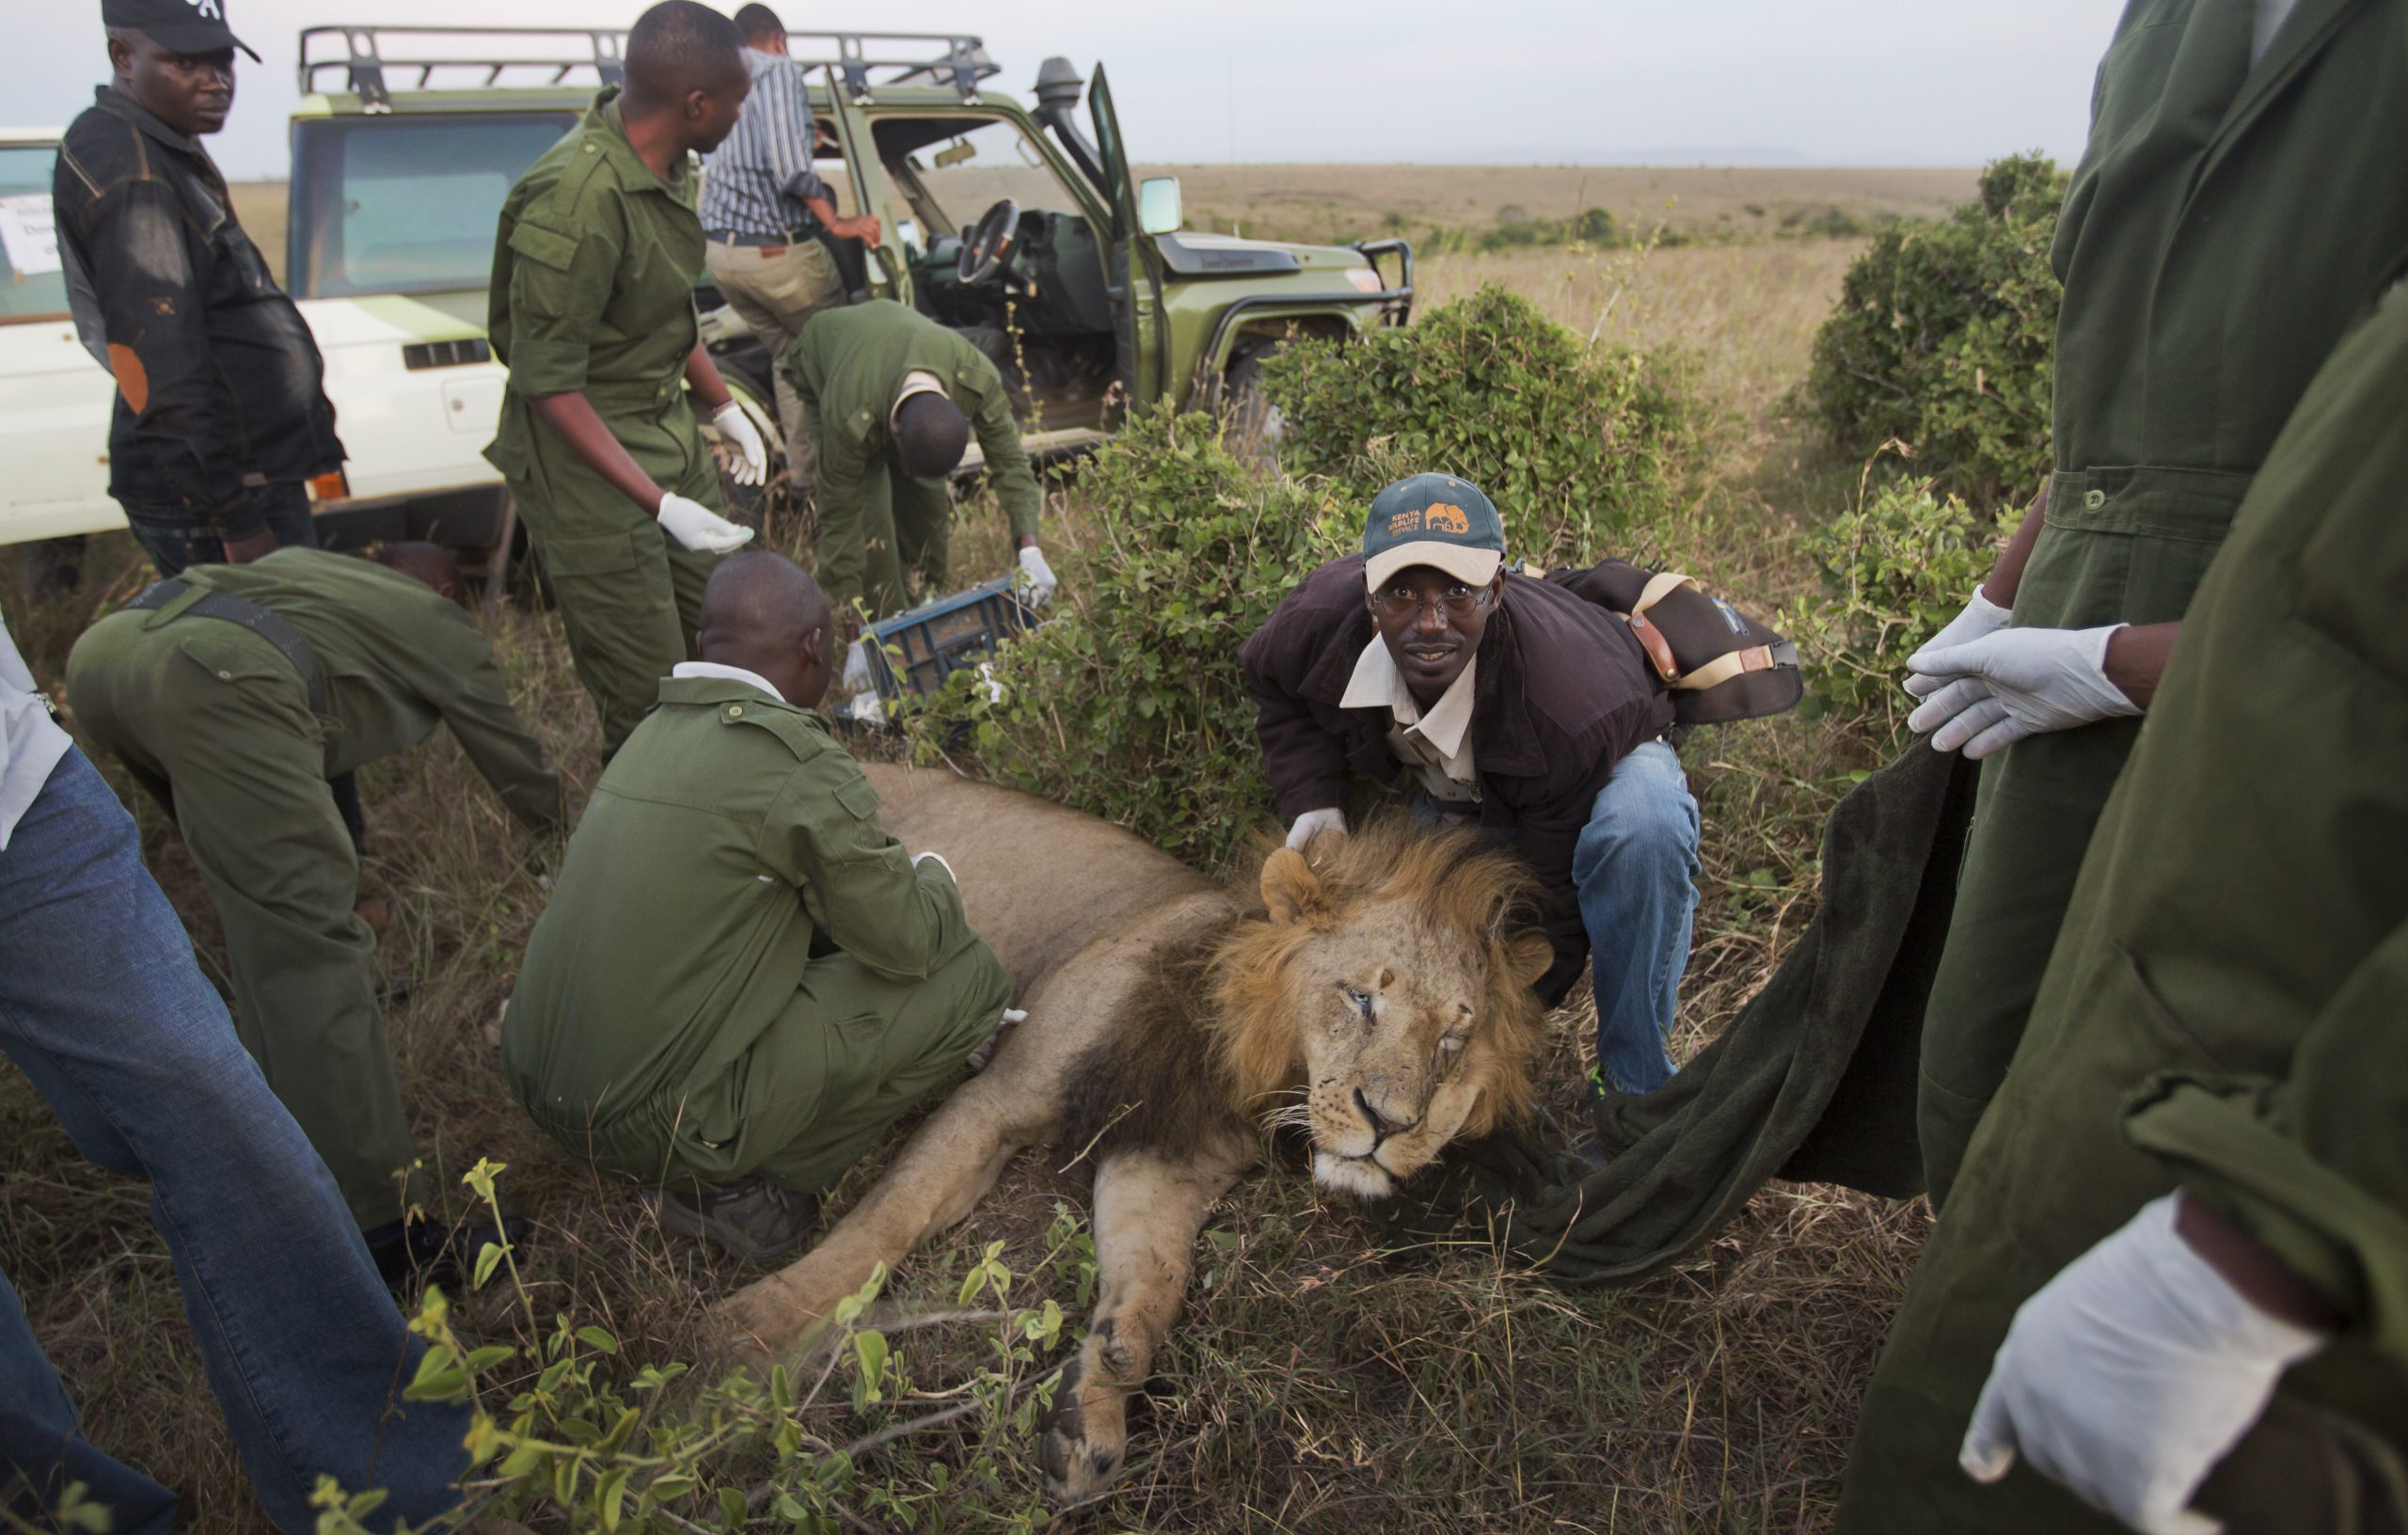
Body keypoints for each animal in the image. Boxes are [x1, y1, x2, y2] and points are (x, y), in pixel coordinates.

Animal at [719, 762, 1553, 1502]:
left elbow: (1155, 1278)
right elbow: (887, 1220)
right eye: (1361, 1000)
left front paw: (1095, 1408)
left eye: (1453, 1039)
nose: (1392, 1124)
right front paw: (748, 1342)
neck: (1238, 1063)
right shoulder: (1001, 1098)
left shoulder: (1161, 1158)